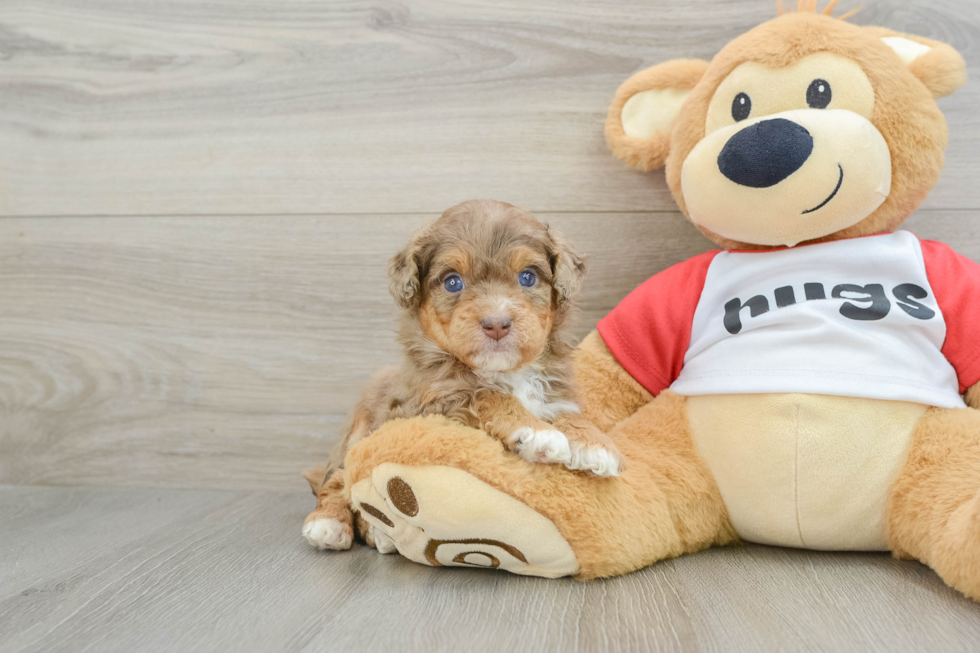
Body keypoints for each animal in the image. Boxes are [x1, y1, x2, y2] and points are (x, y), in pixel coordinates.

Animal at [302, 199, 624, 552]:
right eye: (453, 282)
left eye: (527, 277)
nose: (497, 323)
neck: (505, 371)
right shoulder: (427, 406)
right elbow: (486, 395)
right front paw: (538, 432)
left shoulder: (554, 390)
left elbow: (567, 412)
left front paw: (595, 443)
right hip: (358, 433)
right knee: (336, 481)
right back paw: (332, 525)